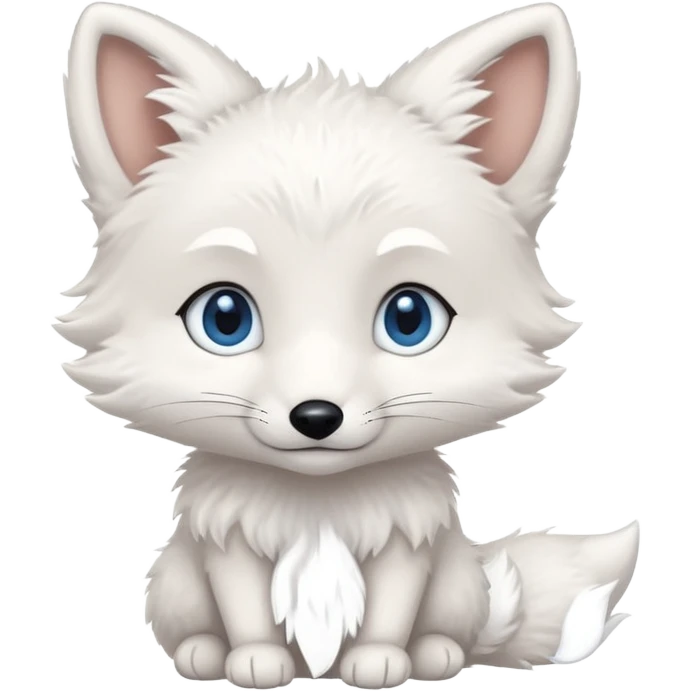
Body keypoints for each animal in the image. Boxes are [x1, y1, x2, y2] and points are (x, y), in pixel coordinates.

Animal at [57, 1, 639, 688]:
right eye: (225, 318)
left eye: (409, 319)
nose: (316, 416)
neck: (319, 503)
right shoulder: (230, 542)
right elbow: (245, 605)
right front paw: (255, 660)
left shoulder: (405, 542)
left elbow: (392, 605)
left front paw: (379, 660)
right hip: (172, 581)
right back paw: (202, 653)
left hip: (459, 583)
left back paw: (436, 653)